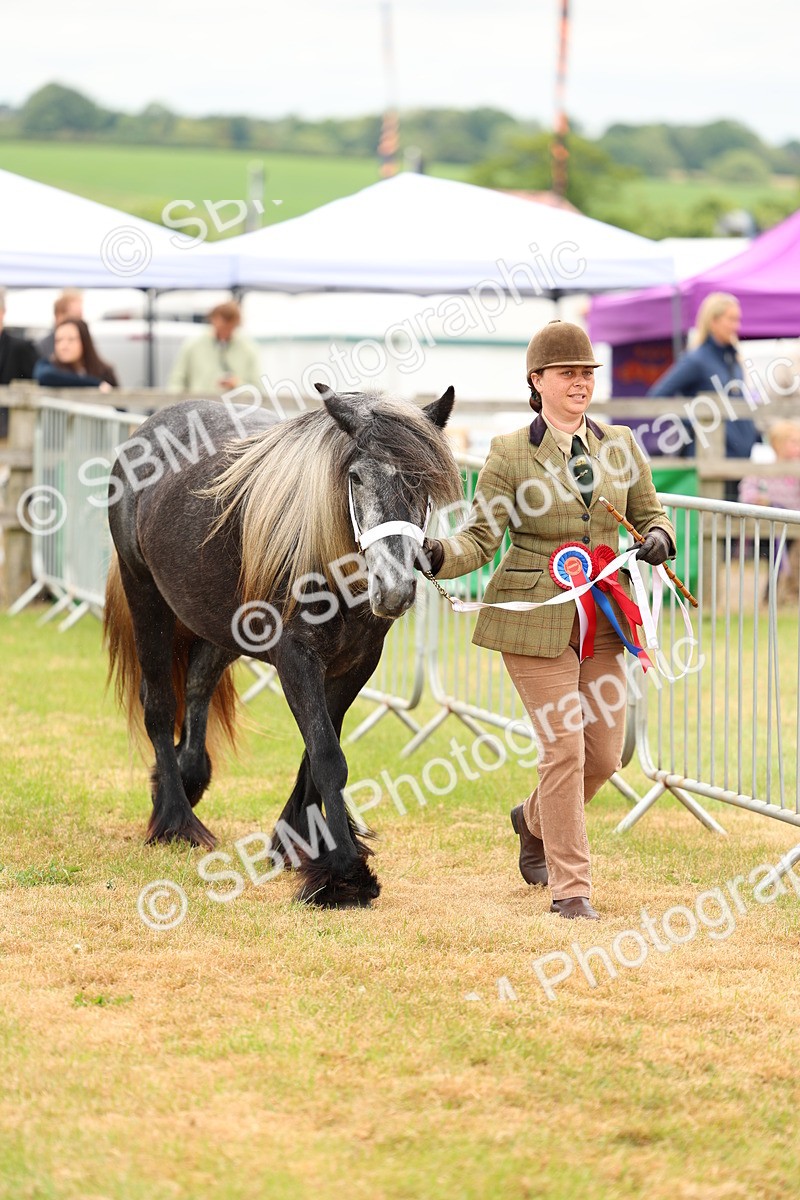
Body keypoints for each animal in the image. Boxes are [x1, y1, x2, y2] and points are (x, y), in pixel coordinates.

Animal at [103, 384, 462, 907]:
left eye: (425, 483)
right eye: (355, 476)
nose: (394, 590)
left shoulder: (355, 666)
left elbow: (316, 754)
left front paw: (298, 844)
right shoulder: (295, 658)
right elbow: (328, 757)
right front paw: (344, 876)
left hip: (217, 626)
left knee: (197, 687)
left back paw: (188, 782)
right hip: (145, 595)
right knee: (159, 704)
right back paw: (176, 821)